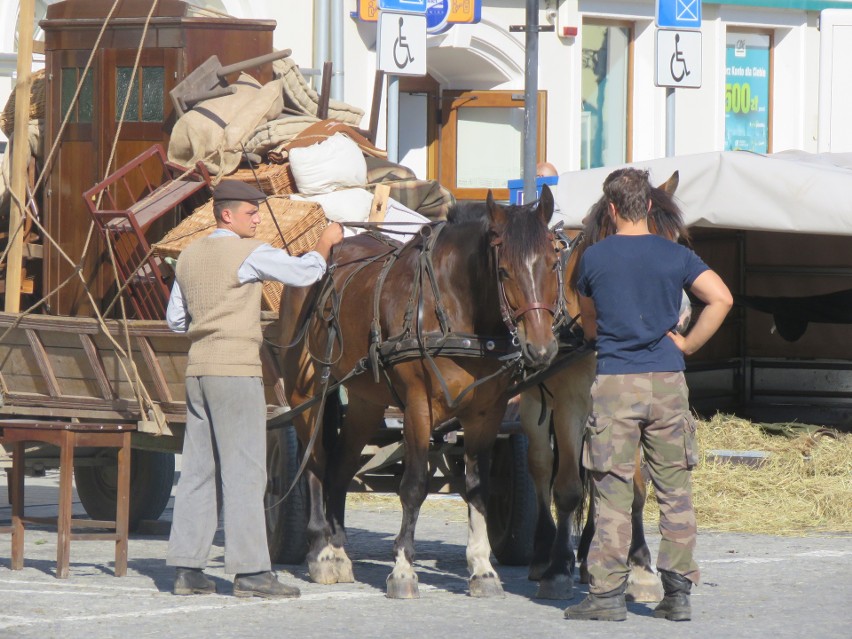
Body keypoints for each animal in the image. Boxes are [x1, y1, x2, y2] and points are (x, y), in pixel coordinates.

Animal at [278, 188, 564, 596]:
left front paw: (482, 569)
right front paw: (402, 571)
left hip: (365, 403)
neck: (454, 306)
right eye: (504, 270)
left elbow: (479, 488)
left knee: (339, 468)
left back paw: (339, 551)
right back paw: (322, 552)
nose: (541, 349)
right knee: (314, 465)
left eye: (554, 263)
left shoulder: (486, 413)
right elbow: (413, 487)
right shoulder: (418, 407)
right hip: (304, 397)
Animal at [516, 170, 688, 600]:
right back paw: (543, 553)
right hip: (534, 405)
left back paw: (589, 550)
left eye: (678, 242)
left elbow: (635, 484)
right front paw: (557, 567)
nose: (676, 317)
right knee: (541, 466)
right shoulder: (570, 406)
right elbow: (566, 487)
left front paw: (640, 564)